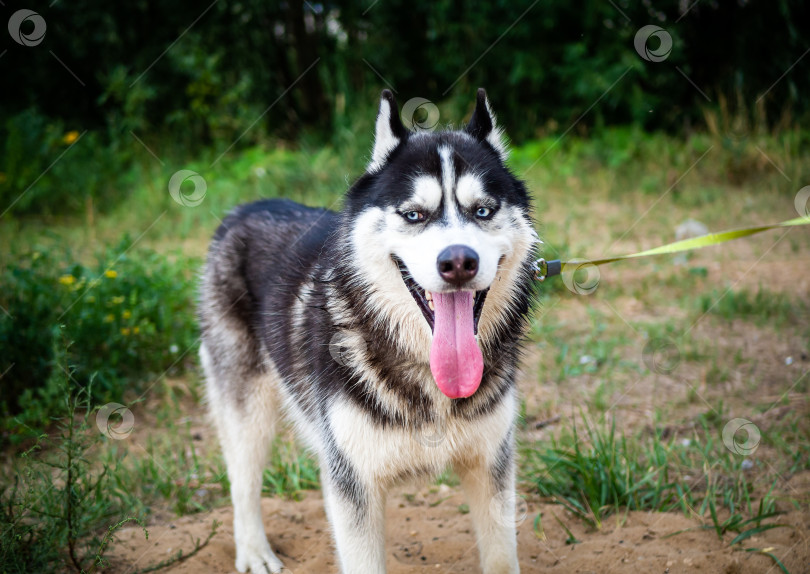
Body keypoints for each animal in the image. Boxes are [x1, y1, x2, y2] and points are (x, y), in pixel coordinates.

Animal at [197, 90, 536, 574]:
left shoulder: (492, 467)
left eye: (483, 211)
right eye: (414, 214)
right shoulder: (352, 482)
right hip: (247, 407)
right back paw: (253, 551)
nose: (458, 262)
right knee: (243, 479)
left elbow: (501, 557)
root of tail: (245, 208)